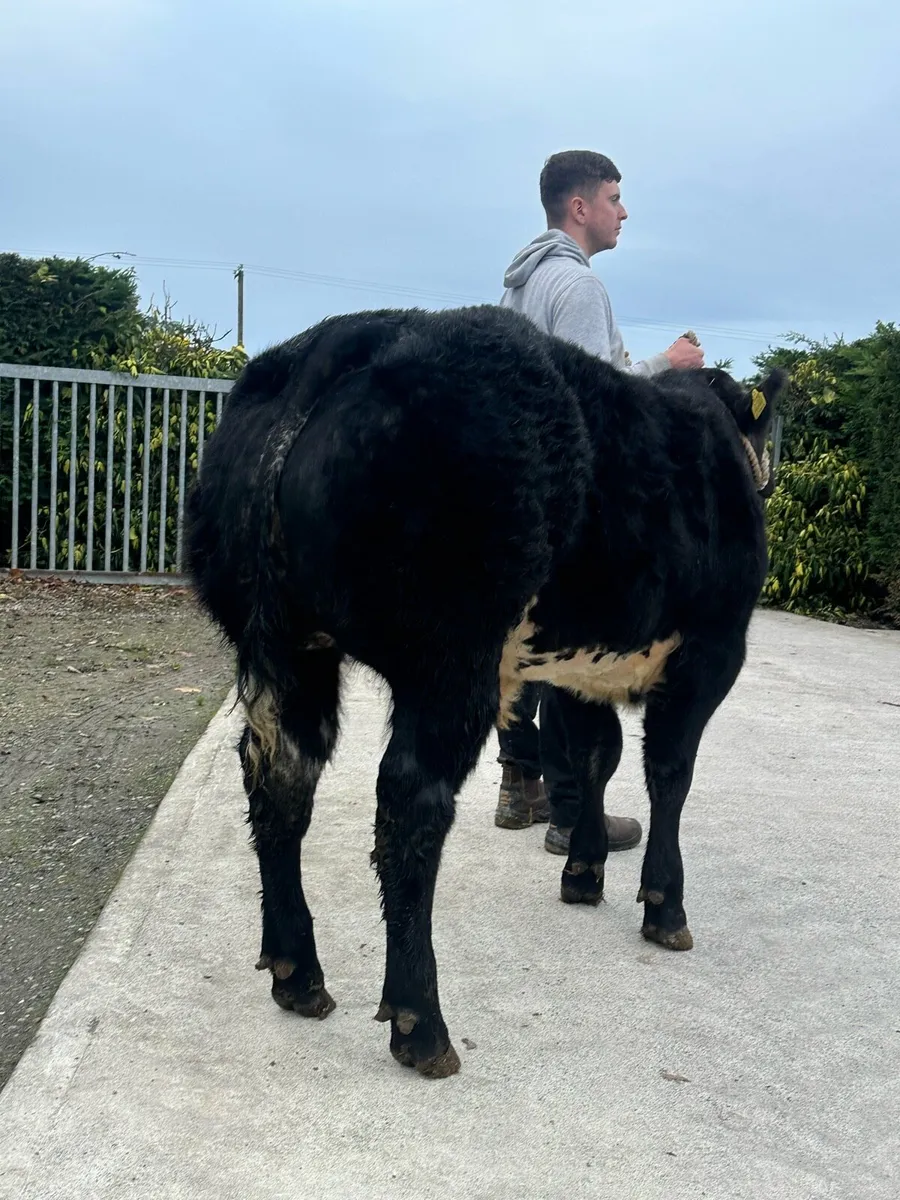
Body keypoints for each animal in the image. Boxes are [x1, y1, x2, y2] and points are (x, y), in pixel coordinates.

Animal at [186, 304, 785, 1079]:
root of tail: (343, 338)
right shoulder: (713, 647)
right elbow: (669, 772)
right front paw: (665, 906)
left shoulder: (578, 665)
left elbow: (597, 756)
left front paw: (585, 871)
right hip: (452, 655)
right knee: (411, 801)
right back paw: (421, 1023)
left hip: (289, 644)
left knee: (281, 779)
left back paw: (298, 974)